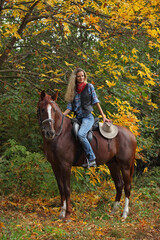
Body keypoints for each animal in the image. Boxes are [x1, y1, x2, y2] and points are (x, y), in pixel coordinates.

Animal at [37, 91, 136, 220]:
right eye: (42, 109)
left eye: (54, 110)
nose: (50, 132)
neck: (60, 134)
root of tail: (131, 135)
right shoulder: (55, 165)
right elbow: (61, 188)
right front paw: (61, 213)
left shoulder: (65, 165)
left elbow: (67, 189)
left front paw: (68, 215)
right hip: (113, 165)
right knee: (119, 185)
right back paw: (113, 211)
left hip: (125, 166)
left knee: (127, 187)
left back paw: (124, 214)